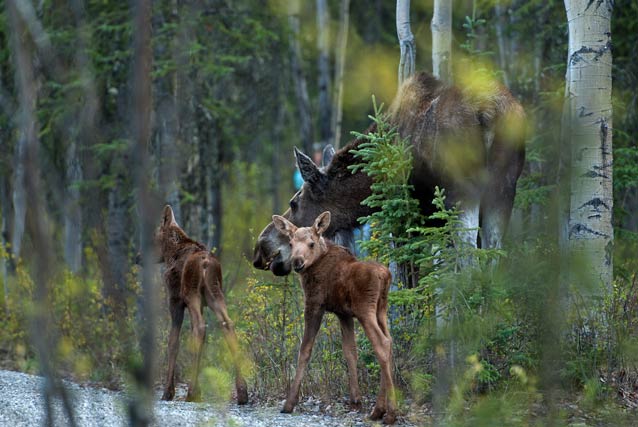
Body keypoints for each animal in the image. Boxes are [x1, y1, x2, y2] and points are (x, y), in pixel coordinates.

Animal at [155, 206, 250, 404]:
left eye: (154, 238)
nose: (138, 257)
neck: (170, 253)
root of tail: (206, 263)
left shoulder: (175, 300)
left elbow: (173, 342)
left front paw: (168, 392)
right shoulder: (201, 305)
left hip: (192, 294)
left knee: (200, 327)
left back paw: (191, 392)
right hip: (215, 294)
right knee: (227, 324)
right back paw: (242, 391)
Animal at [252, 71, 528, 278]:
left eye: (294, 203)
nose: (260, 247)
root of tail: (490, 113)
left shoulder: (405, 219)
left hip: (461, 194)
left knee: (471, 262)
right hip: (503, 192)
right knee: (493, 259)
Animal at [274, 212, 398, 426]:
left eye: (311, 243)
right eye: (291, 243)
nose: (297, 262)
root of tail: (385, 276)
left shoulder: (314, 305)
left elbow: (304, 351)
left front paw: (289, 403)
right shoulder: (344, 314)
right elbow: (350, 352)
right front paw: (355, 401)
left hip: (365, 311)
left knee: (382, 344)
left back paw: (389, 413)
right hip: (381, 310)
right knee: (389, 342)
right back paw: (378, 411)